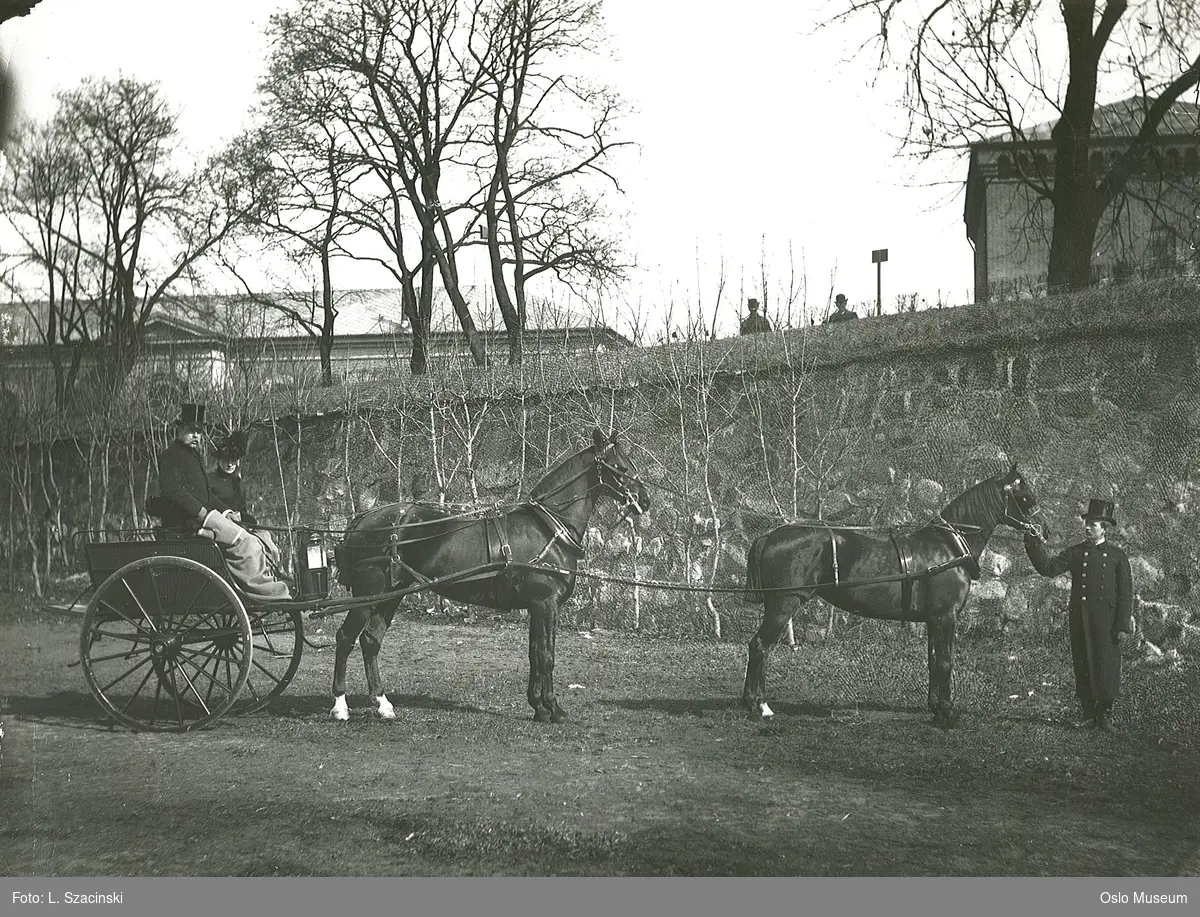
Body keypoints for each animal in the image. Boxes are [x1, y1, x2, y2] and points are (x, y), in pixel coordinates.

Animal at [328, 429, 648, 724]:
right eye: (619, 466)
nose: (644, 499)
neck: (549, 528)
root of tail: (361, 520)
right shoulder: (546, 604)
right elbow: (546, 655)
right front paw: (553, 708)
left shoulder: (537, 607)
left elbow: (535, 653)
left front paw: (539, 707)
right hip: (368, 596)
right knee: (345, 638)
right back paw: (341, 706)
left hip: (390, 596)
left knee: (371, 640)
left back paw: (383, 704)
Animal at [739, 465, 1041, 729]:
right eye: (1024, 496)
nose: (1042, 530)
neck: (948, 547)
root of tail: (770, 535)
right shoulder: (946, 616)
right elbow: (945, 662)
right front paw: (947, 713)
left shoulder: (934, 619)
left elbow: (933, 661)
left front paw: (935, 709)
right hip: (784, 603)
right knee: (760, 646)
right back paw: (760, 706)